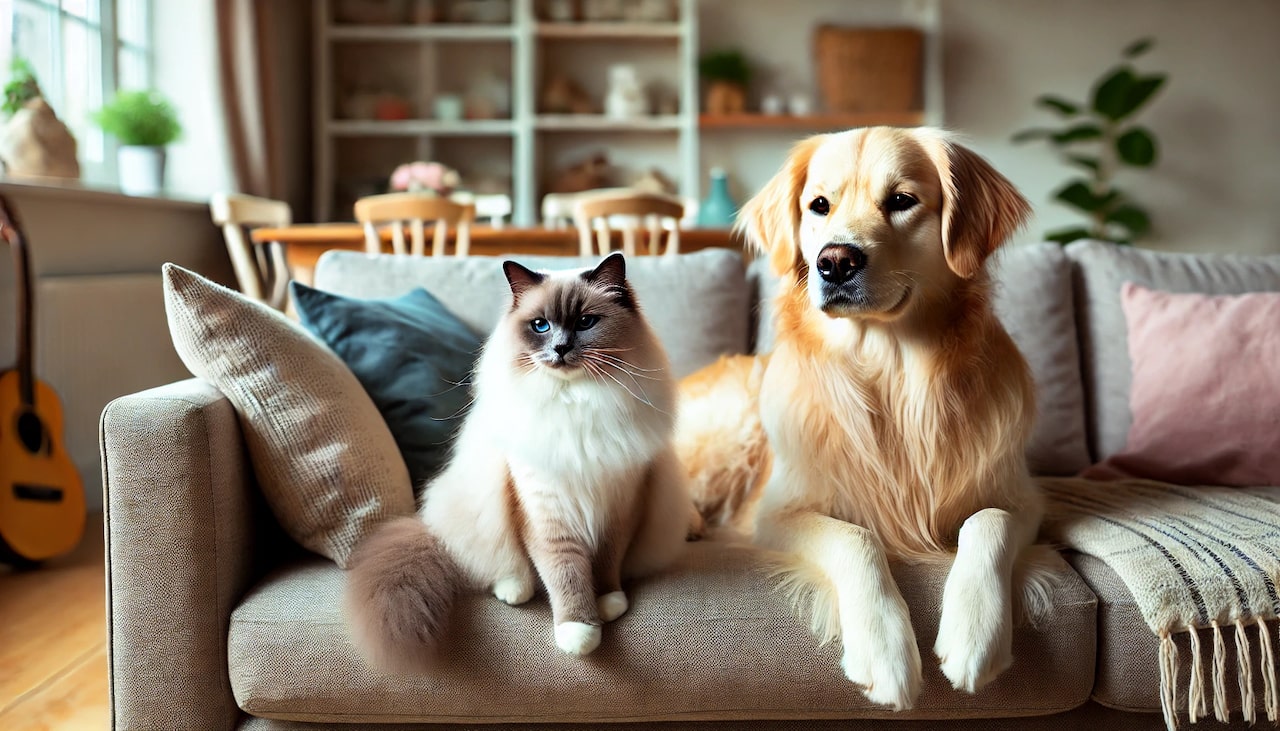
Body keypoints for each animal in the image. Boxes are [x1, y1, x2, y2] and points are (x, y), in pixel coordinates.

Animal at [345, 254, 696, 670]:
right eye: (540, 326)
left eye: (585, 322)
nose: (560, 348)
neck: (575, 402)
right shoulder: (545, 511)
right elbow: (564, 572)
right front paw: (579, 632)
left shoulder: (620, 505)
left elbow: (607, 561)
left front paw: (608, 602)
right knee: (493, 563)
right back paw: (515, 589)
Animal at [675, 128, 1054, 711]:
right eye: (819, 206)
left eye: (901, 200)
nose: (835, 261)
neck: (893, 374)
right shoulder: (775, 514)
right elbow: (854, 536)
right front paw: (884, 648)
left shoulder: (1024, 499)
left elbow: (988, 521)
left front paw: (975, 634)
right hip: (730, 427)